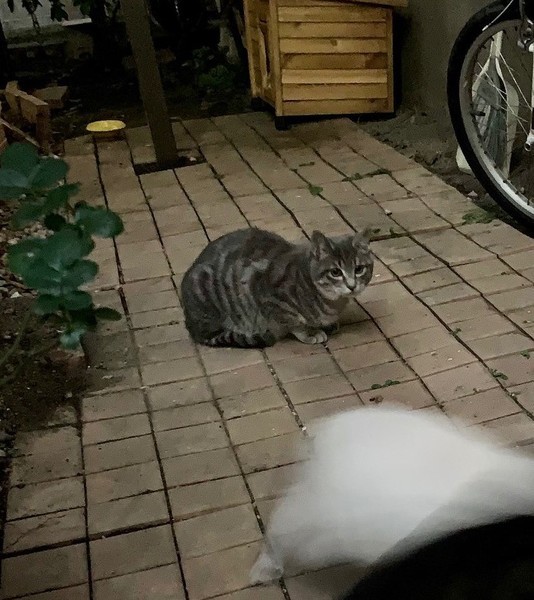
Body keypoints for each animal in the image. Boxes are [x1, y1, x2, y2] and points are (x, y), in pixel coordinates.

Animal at [180, 227, 373, 348]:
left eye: (359, 269)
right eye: (335, 272)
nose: (352, 286)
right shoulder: (270, 299)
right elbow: (293, 323)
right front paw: (309, 332)